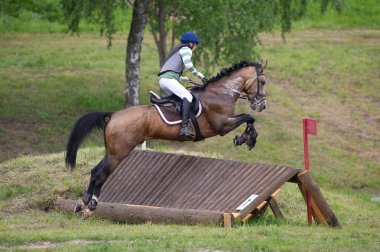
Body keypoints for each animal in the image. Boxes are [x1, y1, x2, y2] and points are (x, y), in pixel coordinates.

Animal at [65, 60, 268, 217]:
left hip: (111, 151)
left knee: (94, 172)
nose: (262, 105)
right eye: (263, 81)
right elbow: (249, 117)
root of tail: (114, 115)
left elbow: (249, 118)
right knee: (100, 175)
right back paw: (91, 205)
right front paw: (247, 138)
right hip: (120, 153)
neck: (221, 92)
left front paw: (246, 138)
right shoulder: (222, 125)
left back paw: (82, 202)